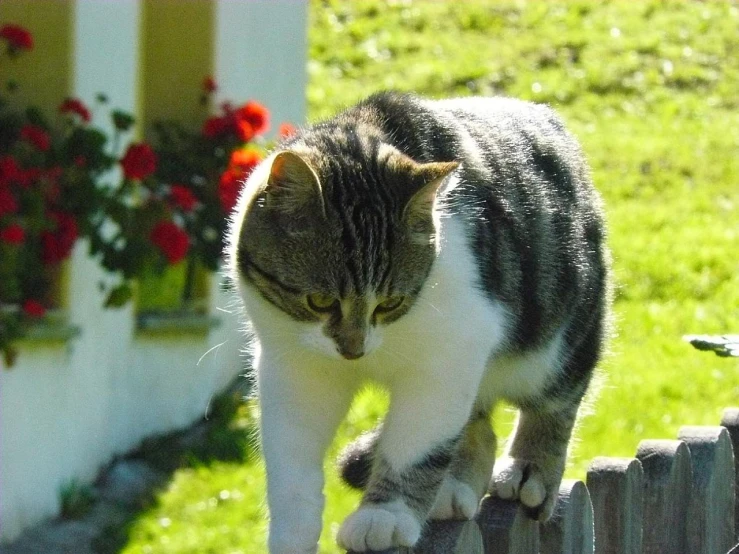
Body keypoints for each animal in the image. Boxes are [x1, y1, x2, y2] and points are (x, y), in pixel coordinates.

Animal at [227, 92, 612, 548]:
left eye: (390, 302)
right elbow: (290, 455)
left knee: (556, 400)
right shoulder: (294, 364)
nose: (354, 349)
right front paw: (292, 533)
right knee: (476, 425)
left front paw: (386, 515)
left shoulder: (453, 349)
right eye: (319, 300)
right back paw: (452, 487)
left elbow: (417, 442)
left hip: (562, 332)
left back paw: (529, 471)